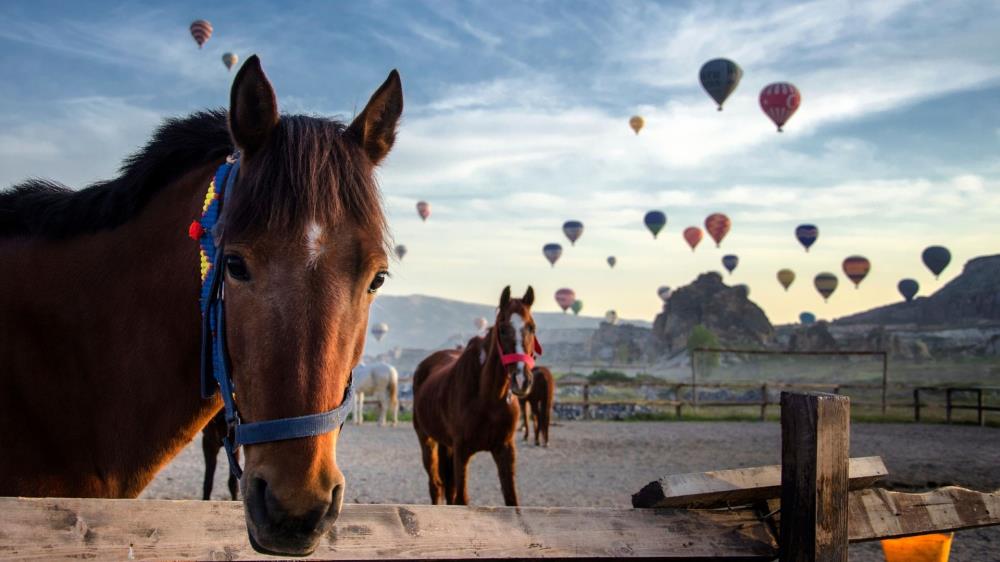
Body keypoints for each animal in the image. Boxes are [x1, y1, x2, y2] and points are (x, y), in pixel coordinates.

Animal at [412, 286, 540, 506]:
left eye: (531, 327)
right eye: (503, 329)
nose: (521, 380)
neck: (488, 399)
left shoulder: (505, 450)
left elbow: (511, 500)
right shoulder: (462, 451)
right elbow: (461, 498)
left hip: (446, 445)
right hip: (427, 440)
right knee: (435, 486)